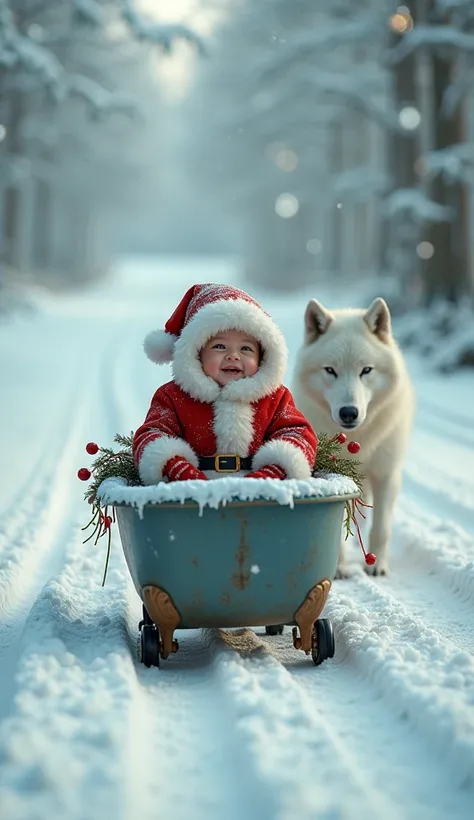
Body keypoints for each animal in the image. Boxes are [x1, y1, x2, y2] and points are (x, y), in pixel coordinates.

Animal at [292, 298, 414, 572]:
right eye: (330, 370)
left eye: (366, 370)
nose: (349, 412)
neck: (360, 438)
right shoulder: (337, 476)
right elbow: (337, 530)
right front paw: (339, 568)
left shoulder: (386, 475)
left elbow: (381, 527)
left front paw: (377, 566)